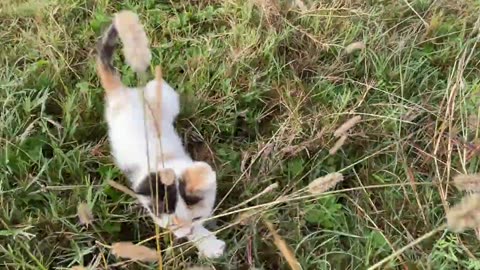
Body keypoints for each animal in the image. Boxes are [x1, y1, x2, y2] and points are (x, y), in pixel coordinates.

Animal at [96, 11, 226, 260]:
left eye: (197, 217)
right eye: (171, 223)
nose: (184, 234)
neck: (165, 163)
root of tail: (121, 93)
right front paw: (208, 244)